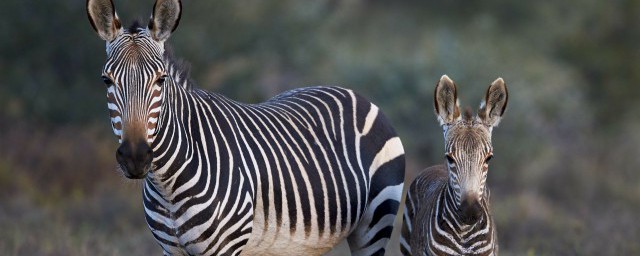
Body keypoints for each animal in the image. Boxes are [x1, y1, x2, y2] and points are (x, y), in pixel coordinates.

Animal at [87, 0, 404, 256]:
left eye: (161, 80)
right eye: (106, 81)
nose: (135, 157)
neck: (168, 184)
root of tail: (354, 93)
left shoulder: (224, 247)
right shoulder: (170, 249)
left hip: (374, 225)